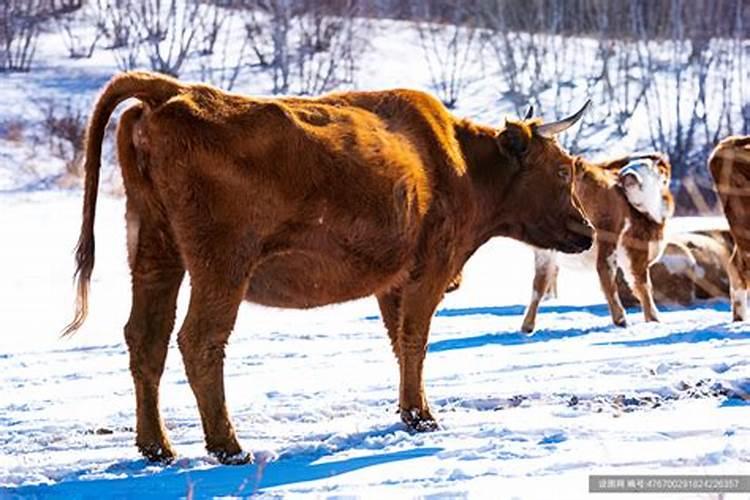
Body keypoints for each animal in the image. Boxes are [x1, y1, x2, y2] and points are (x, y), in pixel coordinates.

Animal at [63, 71, 592, 464]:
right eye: (563, 170)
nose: (586, 229)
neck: (459, 162)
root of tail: (173, 92)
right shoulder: (430, 269)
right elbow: (415, 340)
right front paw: (423, 417)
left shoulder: (392, 282)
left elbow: (400, 343)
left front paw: (410, 413)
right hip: (221, 264)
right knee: (199, 341)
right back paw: (228, 447)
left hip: (156, 252)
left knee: (145, 339)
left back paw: (157, 448)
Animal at [524, 152, 676, 332]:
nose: (628, 175)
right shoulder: (637, 246)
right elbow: (642, 285)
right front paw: (653, 319)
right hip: (608, 232)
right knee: (605, 270)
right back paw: (621, 319)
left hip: (548, 245)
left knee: (539, 281)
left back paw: (527, 325)